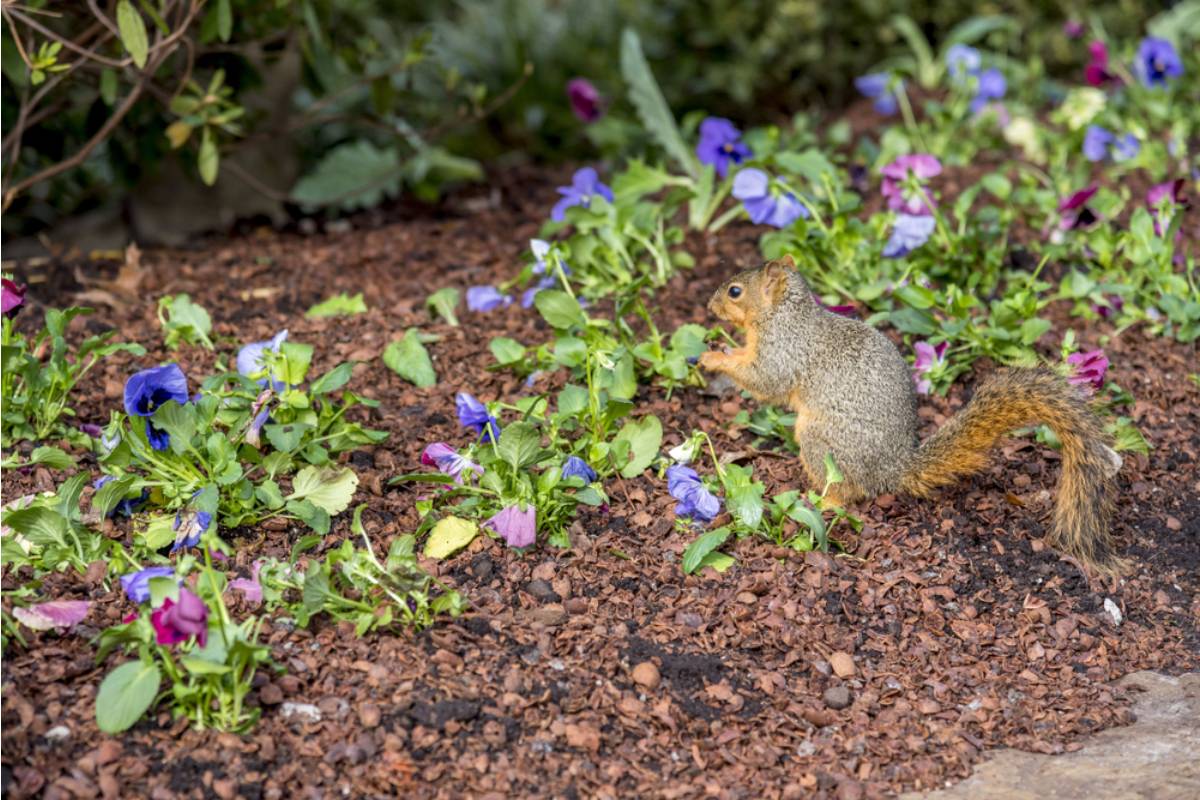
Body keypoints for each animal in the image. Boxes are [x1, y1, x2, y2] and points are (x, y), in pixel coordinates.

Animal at [699, 256, 1126, 575]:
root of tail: (893, 468)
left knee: (845, 492)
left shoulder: (783, 352)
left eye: (735, 291)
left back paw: (820, 499)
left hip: (820, 440)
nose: (709, 306)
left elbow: (764, 380)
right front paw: (721, 349)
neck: (784, 315)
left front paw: (713, 358)